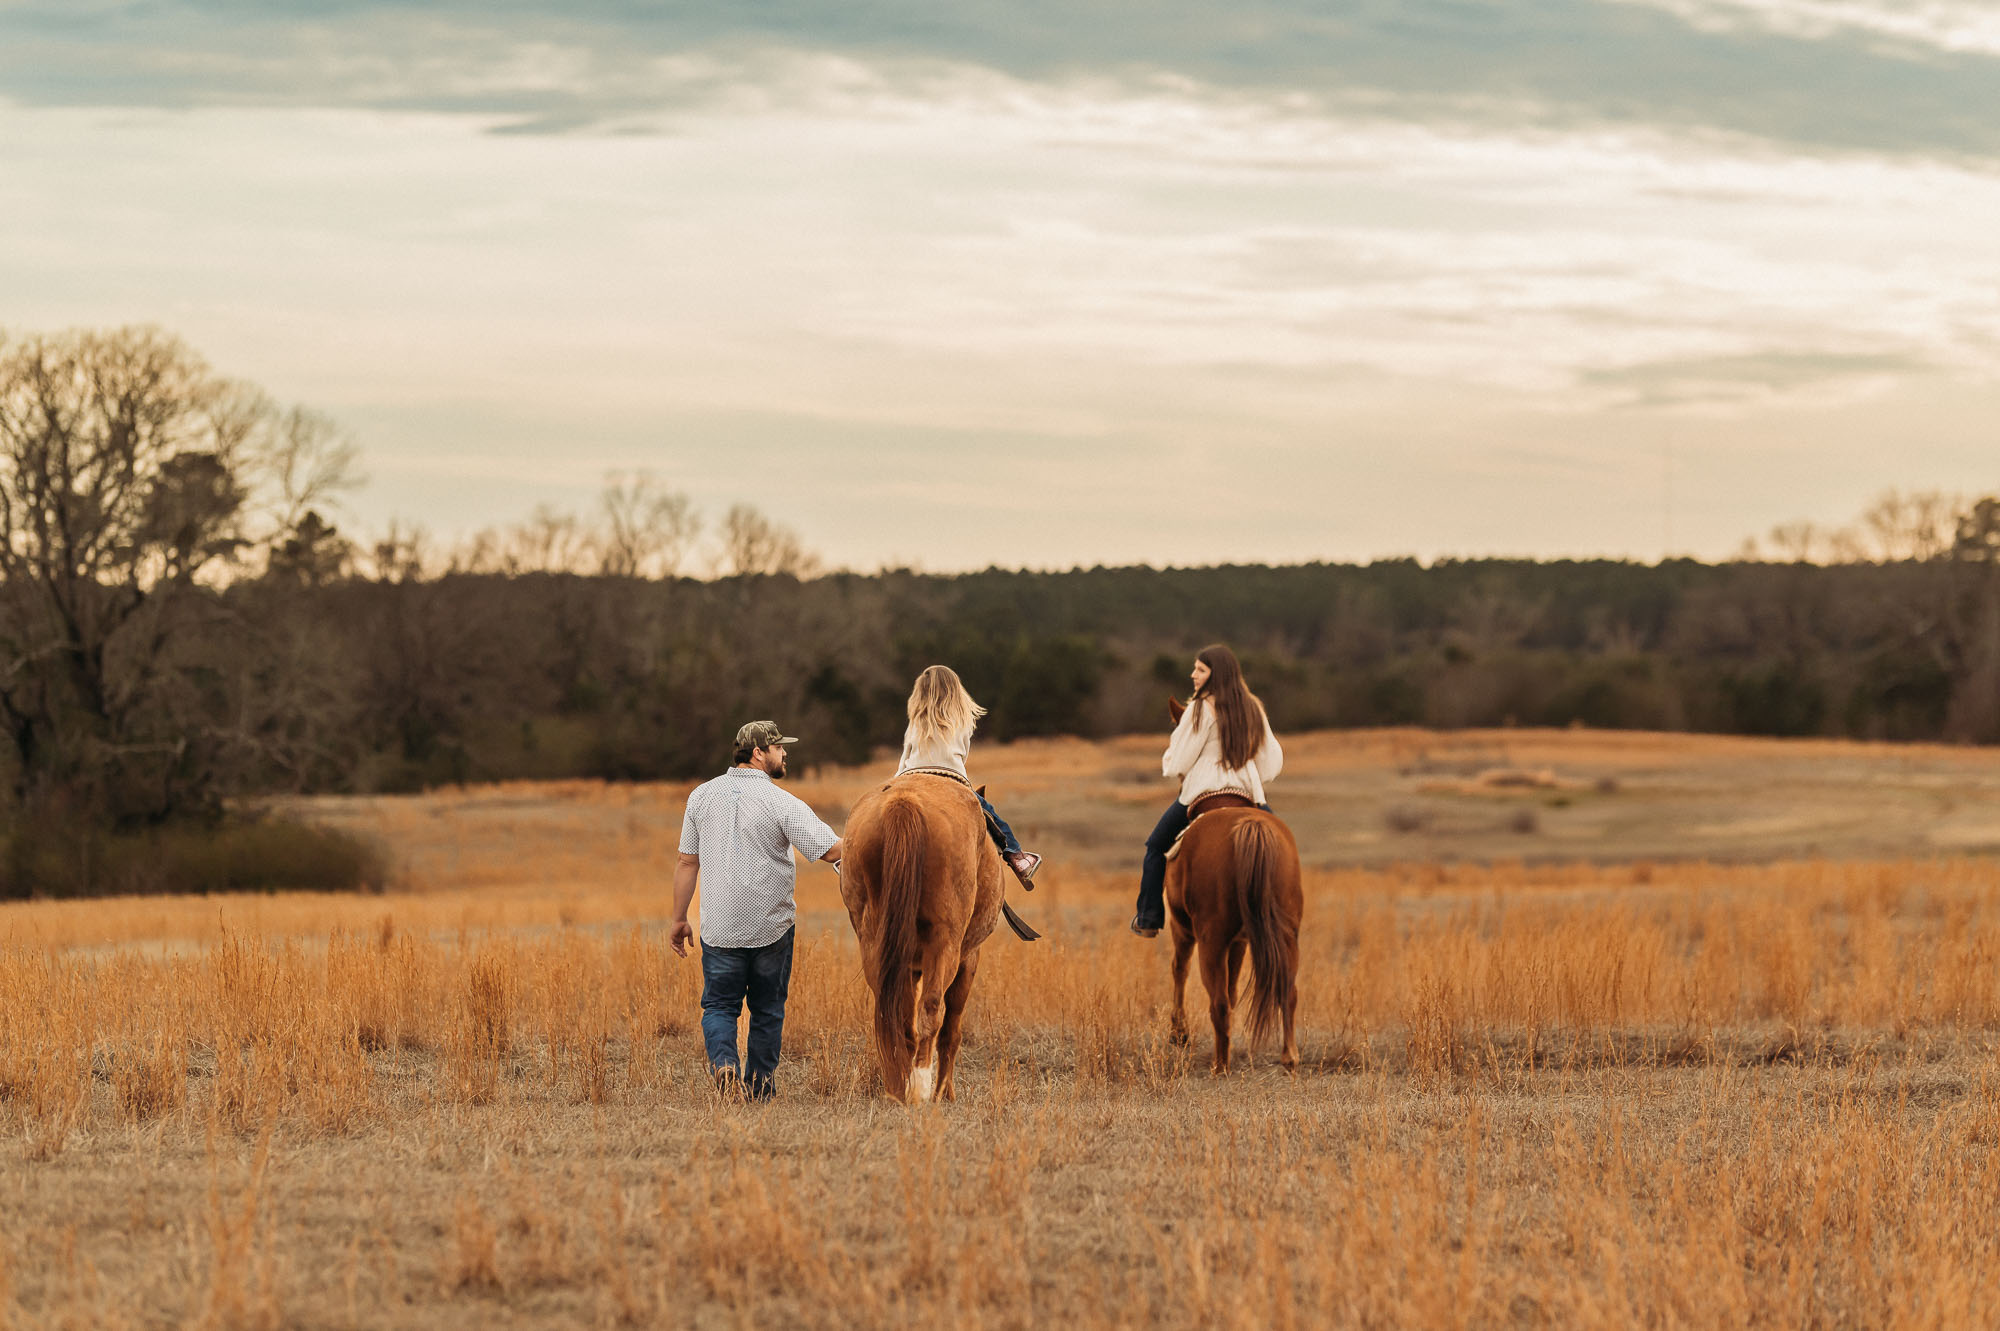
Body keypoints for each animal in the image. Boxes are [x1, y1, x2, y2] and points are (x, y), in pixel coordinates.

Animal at [839, 773, 1005, 1101]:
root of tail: (903, 802)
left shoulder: (909, 966)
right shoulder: (968, 959)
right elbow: (951, 1030)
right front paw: (945, 1092)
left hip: (875, 945)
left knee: (895, 1016)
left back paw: (898, 1087)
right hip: (945, 946)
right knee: (930, 1010)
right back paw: (921, 1088)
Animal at [1164, 797, 1304, 1075]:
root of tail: (1253, 827)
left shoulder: (1182, 929)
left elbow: (1180, 970)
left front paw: (1179, 1032)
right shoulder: (1239, 941)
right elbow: (1232, 990)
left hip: (1210, 942)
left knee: (1217, 1002)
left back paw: (1220, 1065)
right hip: (1287, 936)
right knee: (1288, 992)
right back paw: (1289, 1057)